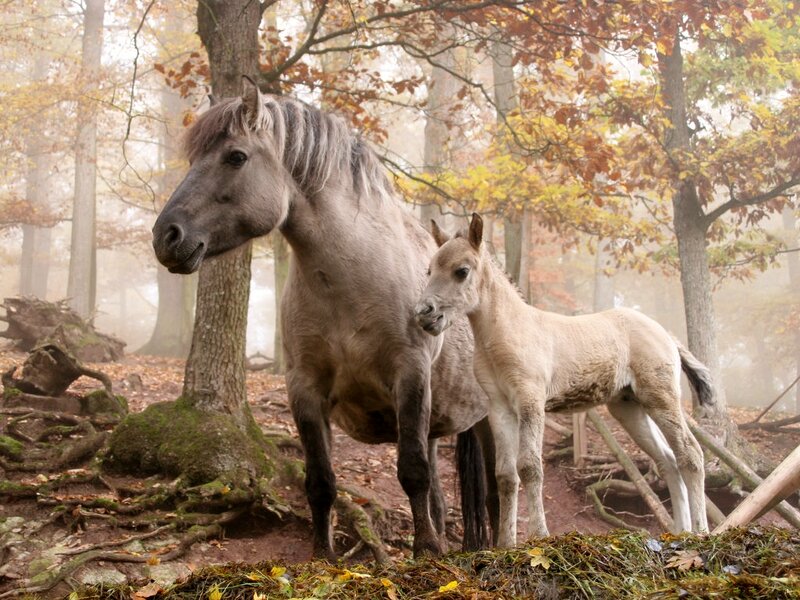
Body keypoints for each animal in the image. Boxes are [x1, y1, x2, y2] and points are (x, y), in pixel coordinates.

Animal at [151, 79, 496, 559]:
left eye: (236, 156)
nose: (166, 237)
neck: (350, 282)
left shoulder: (409, 374)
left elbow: (412, 472)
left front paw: (426, 552)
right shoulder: (305, 388)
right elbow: (320, 481)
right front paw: (323, 555)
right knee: (441, 495)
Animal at [415, 213, 713, 547]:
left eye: (462, 271)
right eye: (430, 270)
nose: (425, 314)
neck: (508, 332)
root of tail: (667, 335)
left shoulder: (531, 402)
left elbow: (530, 467)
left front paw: (539, 535)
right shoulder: (500, 408)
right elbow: (505, 474)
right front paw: (506, 544)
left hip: (660, 398)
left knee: (690, 454)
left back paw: (701, 531)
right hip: (629, 407)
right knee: (668, 461)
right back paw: (680, 532)